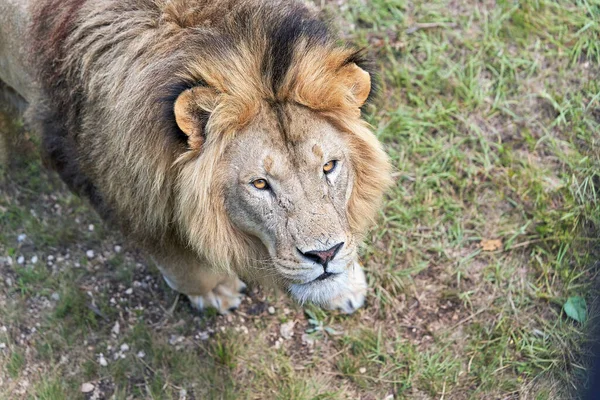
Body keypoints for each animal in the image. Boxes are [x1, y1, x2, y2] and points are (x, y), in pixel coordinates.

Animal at [0, 0, 392, 314]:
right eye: (260, 184)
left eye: (329, 166)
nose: (324, 255)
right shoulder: (125, 197)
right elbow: (184, 266)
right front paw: (215, 290)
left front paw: (344, 281)